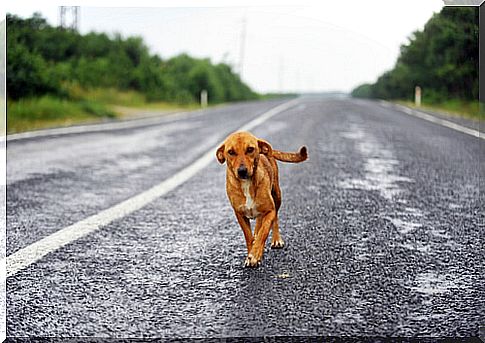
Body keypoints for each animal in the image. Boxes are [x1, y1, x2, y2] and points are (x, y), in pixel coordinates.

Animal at [216, 132, 306, 268]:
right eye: (230, 152)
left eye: (250, 149)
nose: (242, 171)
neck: (247, 184)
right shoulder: (240, 214)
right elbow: (248, 236)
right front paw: (251, 253)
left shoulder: (270, 211)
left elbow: (264, 231)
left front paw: (255, 255)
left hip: (277, 196)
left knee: (274, 220)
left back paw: (276, 240)